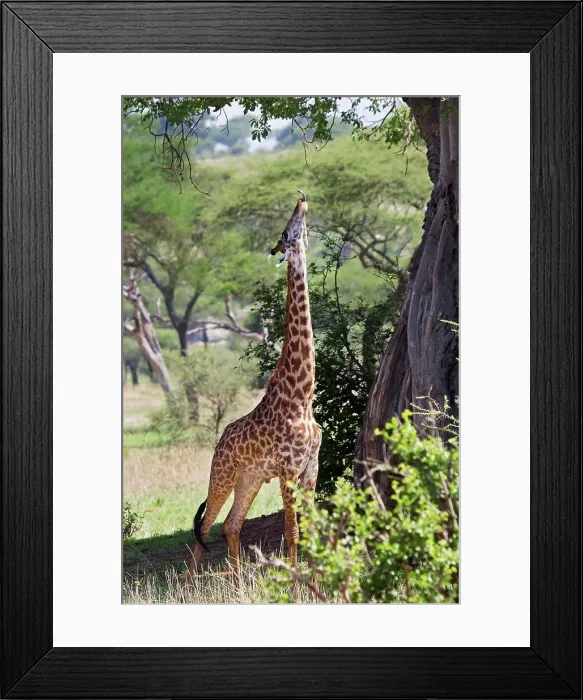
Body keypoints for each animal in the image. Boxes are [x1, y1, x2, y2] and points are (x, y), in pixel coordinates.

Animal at [184, 191, 321, 598]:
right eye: (286, 231)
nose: (302, 198)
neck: (302, 396)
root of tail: (220, 440)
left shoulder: (311, 468)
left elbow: (312, 530)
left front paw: (320, 584)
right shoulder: (289, 469)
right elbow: (292, 531)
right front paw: (296, 592)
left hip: (251, 479)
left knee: (232, 525)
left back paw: (238, 586)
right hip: (223, 475)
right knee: (205, 526)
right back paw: (188, 591)